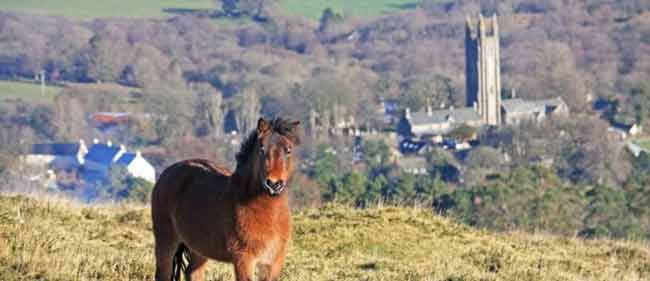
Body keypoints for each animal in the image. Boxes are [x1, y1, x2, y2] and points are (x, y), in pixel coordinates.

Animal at [152, 117, 302, 278]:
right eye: (261, 149)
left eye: (288, 150)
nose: (273, 184)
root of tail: (166, 173)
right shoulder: (244, 259)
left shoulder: (273, 263)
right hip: (166, 241)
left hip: (199, 248)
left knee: (193, 273)